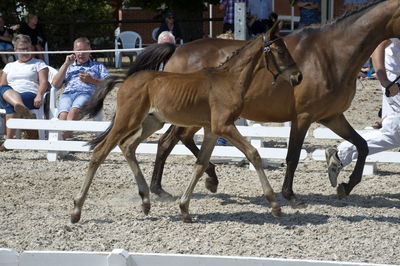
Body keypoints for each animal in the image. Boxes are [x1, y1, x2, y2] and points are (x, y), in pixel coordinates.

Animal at [71, 22, 304, 222]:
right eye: (280, 51)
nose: (298, 77)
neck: (229, 80)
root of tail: (126, 80)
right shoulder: (224, 126)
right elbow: (254, 154)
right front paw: (275, 205)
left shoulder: (212, 129)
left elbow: (201, 164)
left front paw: (185, 208)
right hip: (127, 121)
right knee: (99, 153)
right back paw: (76, 210)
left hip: (151, 123)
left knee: (127, 146)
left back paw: (146, 201)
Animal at [148, 0, 400, 206]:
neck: (331, 55)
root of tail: (177, 50)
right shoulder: (303, 117)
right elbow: (293, 156)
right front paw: (289, 194)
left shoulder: (332, 116)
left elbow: (363, 145)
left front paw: (345, 186)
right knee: (169, 141)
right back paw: (163, 188)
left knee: (176, 139)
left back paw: (192, 182)